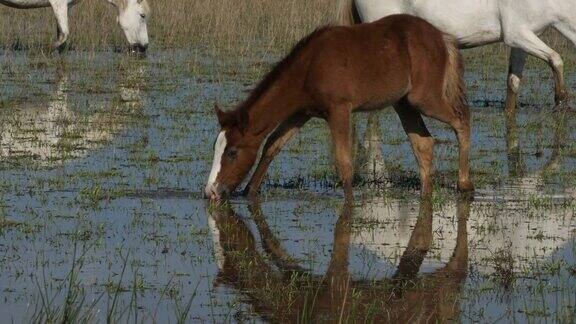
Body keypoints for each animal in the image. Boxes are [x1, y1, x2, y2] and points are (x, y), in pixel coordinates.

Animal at [0, 0, 151, 51]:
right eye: (142, 15)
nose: (144, 46)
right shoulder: (58, 4)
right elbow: (63, 36)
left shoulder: (66, 7)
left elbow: (61, 40)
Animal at [205, 14, 474, 200]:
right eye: (216, 148)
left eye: (232, 152)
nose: (210, 192)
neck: (308, 68)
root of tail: (442, 37)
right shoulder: (301, 113)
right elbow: (272, 145)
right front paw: (249, 192)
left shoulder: (339, 110)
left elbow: (344, 163)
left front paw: (349, 205)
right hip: (404, 104)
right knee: (424, 144)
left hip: (424, 98)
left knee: (462, 119)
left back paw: (464, 184)